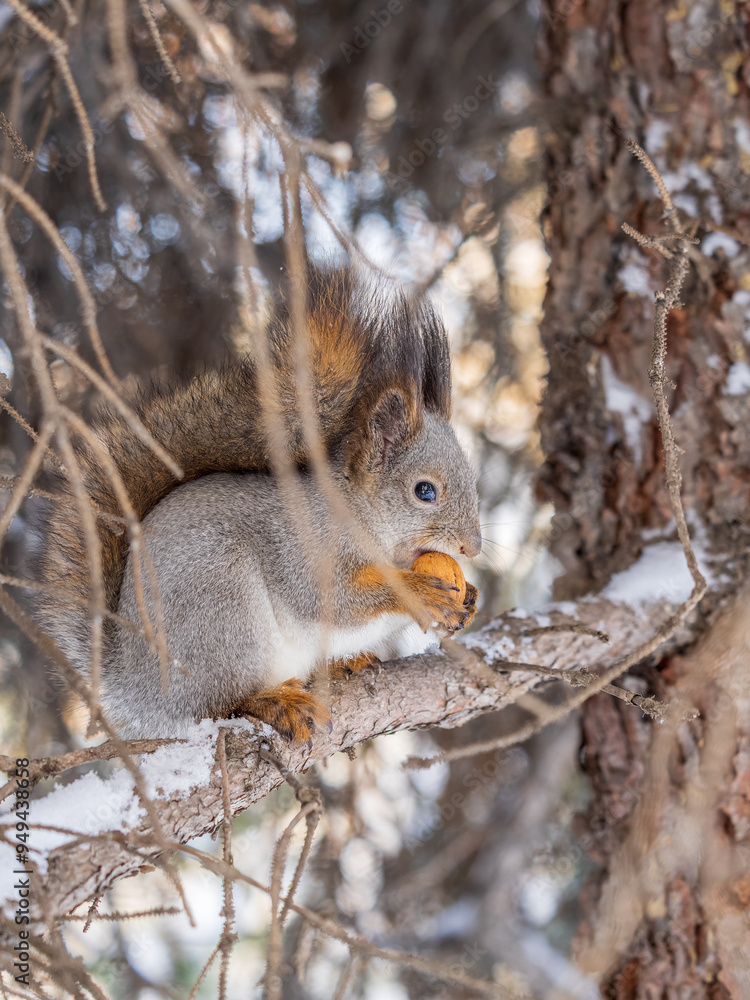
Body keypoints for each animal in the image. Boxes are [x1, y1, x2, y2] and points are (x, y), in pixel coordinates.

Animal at [36, 266, 482, 744]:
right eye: (424, 491)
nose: (472, 548)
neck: (361, 518)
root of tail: (136, 693)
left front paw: (470, 597)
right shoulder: (304, 545)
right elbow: (330, 599)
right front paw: (417, 591)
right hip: (223, 609)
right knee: (220, 703)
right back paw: (274, 701)